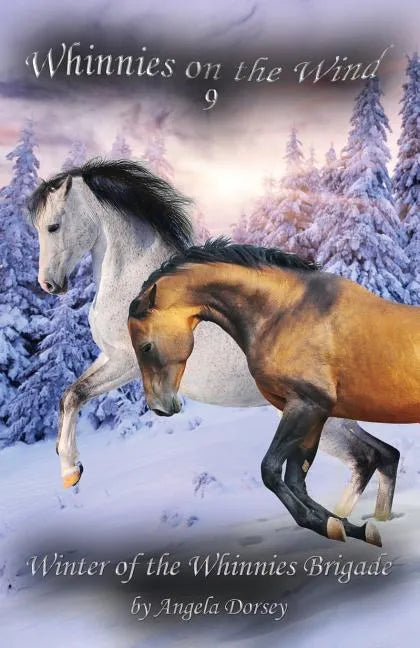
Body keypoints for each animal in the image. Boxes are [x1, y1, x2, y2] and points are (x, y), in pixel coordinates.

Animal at [28, 159, 399, 522]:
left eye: (53, 227)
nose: (48, 285)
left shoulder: (127, 361)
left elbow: (75, 395)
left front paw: (70, 471)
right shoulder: (109, 358)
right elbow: (68, 395)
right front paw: (69, 468)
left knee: (368, 457)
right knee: (382, 455)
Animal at [128, 238, 420, 546]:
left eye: (145, 346)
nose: (159, 406)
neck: (283, 313)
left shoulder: (306, 406)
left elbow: (270, 470)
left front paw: (326, 525)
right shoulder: (313, 414)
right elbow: (296, 480)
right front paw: (350, 527)